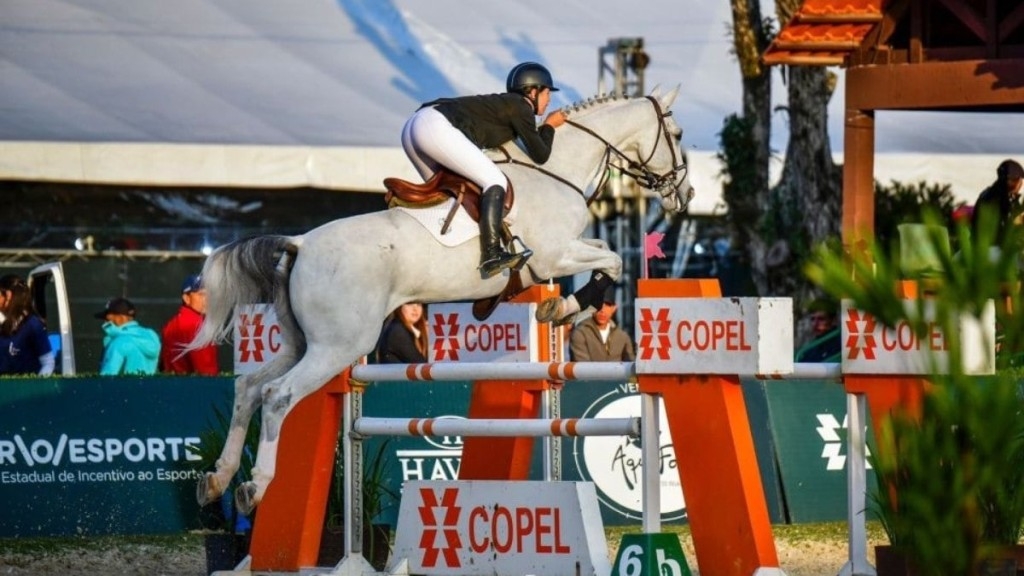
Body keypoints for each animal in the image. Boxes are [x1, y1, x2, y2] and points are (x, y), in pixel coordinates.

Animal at [192, 86, 696, 510]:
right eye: (676, 134)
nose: (685, 194)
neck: (557, 169)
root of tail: (299, 244)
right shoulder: (554, 255)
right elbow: (613, 260)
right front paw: (567, 307)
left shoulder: (563, 253)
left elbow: (604, 254)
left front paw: (559, 309)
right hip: (340, 346)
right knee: (277, 395)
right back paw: (254, 487)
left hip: (303, 342)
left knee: (248, 387)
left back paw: (218, 479)